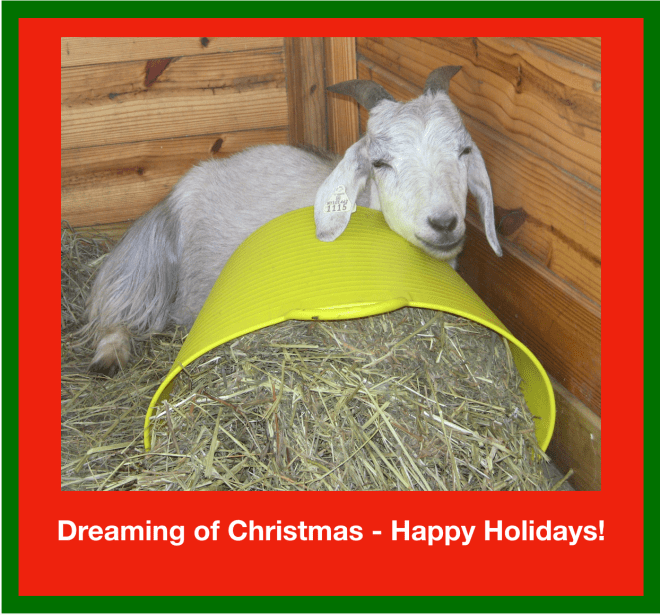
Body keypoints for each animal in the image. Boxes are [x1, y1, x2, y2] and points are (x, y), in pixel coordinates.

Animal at [81, 66, 502, 377]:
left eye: (464, 151)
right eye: (380, 163)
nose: (444, 223)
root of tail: (183, 186)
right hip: (149, 260)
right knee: (119, 305)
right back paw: (108, 357)